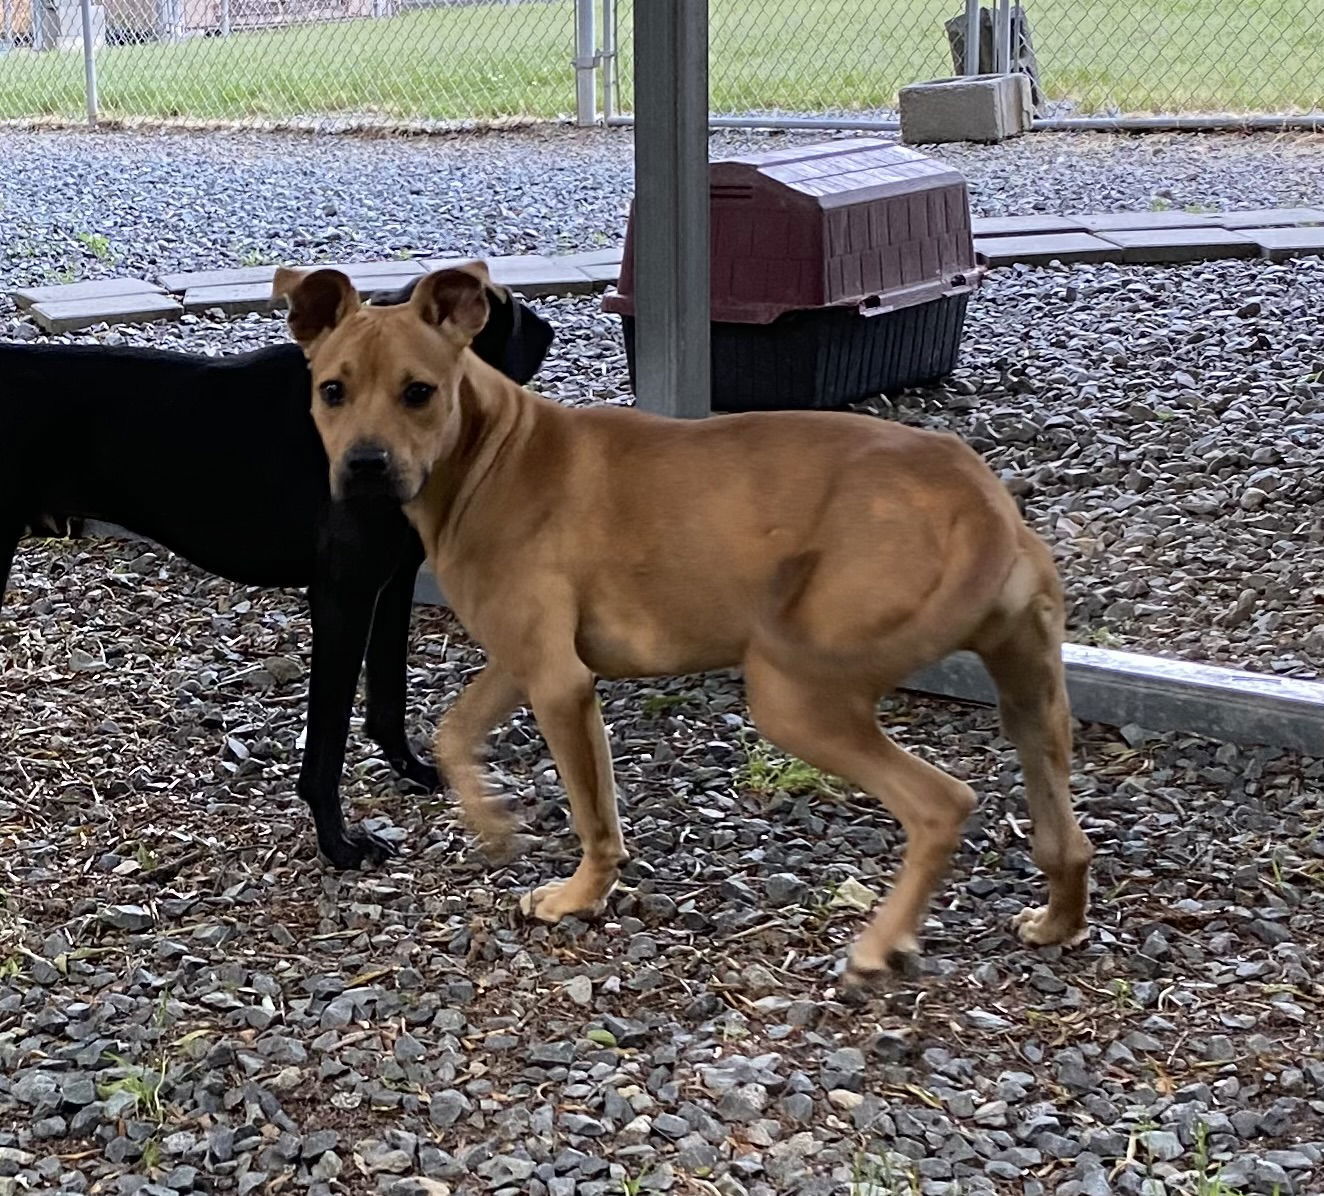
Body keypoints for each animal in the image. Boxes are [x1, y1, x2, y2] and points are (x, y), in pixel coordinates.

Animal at [0, 286, 548, 874]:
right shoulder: (342, 595)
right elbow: (328, 741)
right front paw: (339, 843)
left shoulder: (392, 583)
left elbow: (388, 696)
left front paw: (414, 769)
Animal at [274, 264, 1090, 990]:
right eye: (332, 391)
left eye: (419, 392)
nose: (365, 465)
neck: (492, 451)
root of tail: (976, 494)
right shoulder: (534, 665)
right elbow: (457, 733)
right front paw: (498, 826)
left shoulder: (556, 682)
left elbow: (590, 817)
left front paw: (576, 897)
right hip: (1032, 699)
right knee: (1067, 838)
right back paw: (1057, 923)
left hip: (797, 696)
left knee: (942, 804)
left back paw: (879, 944)